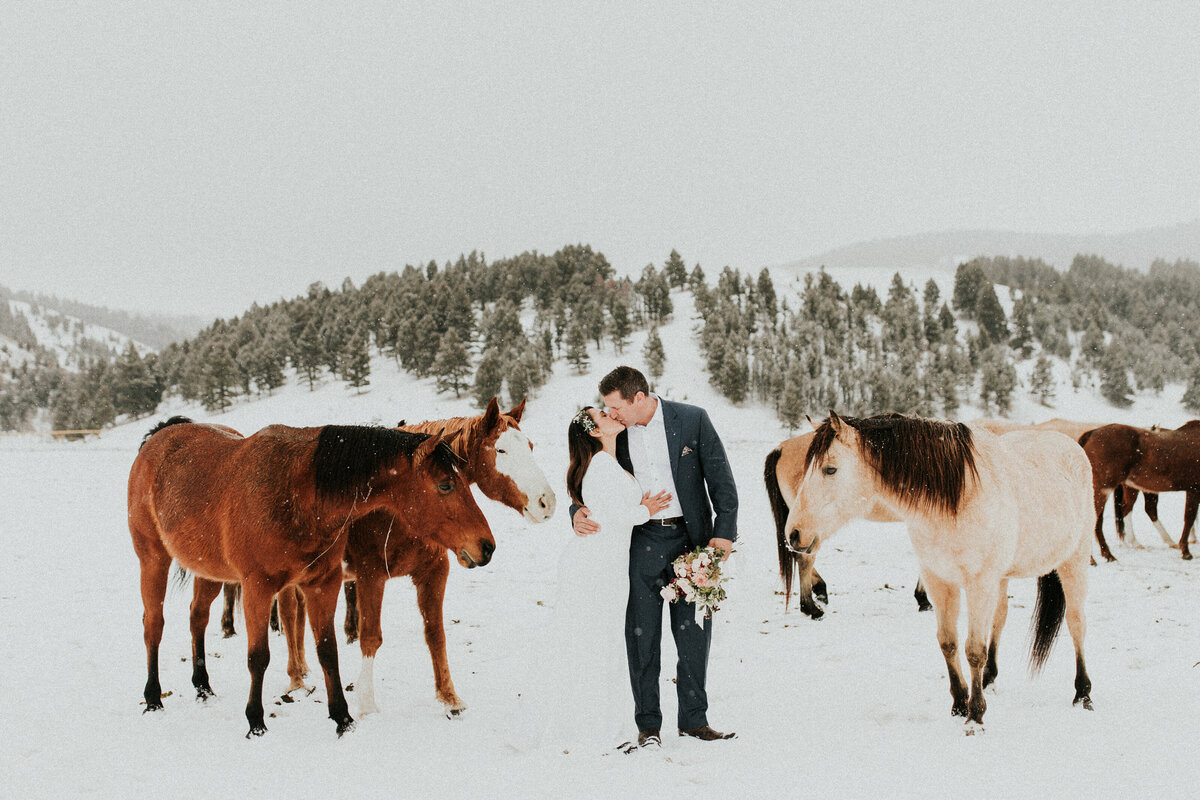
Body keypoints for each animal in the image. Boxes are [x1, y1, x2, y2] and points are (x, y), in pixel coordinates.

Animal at [126, 419, 492, 738]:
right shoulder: (259, 587)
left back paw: (202, 686)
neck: (296, 493)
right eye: (445, 484)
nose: (486, 546)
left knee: (197, 617)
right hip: (153, 559)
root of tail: (158, 437)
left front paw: (343, 718)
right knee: (153, 624)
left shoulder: (322, 583)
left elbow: (328, 649)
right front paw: (255, 722)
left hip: (210, 570)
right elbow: (259, 656)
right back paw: (154, 698)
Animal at [1080, 422, 1200, 561]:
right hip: (1104, 488)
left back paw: (1108, 554)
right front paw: (1186, 551)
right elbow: (1189, 518)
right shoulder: (1193, 490)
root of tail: (1092, 433)